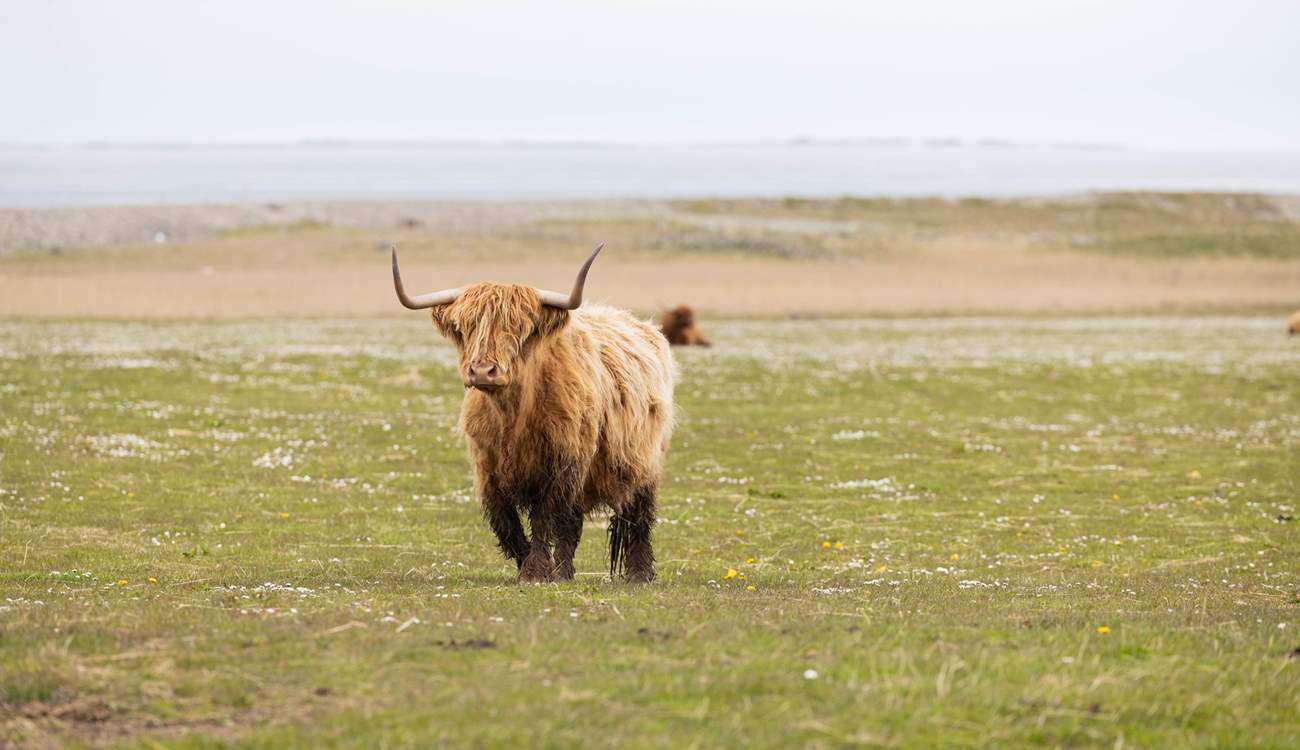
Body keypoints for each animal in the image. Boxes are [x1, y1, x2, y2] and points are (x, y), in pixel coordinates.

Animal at [392, 245, 676, 583]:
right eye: (466, 326)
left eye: (519, 328)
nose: (483, 371)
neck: (512, 416)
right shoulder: (488, 468)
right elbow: (506, 523)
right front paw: (531, 565)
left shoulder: (560, 464)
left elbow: (544, 518)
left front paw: (537, 572)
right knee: (573, 524)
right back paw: (565, 572)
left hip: (643, 461)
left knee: (638, 516)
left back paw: (639, 574)